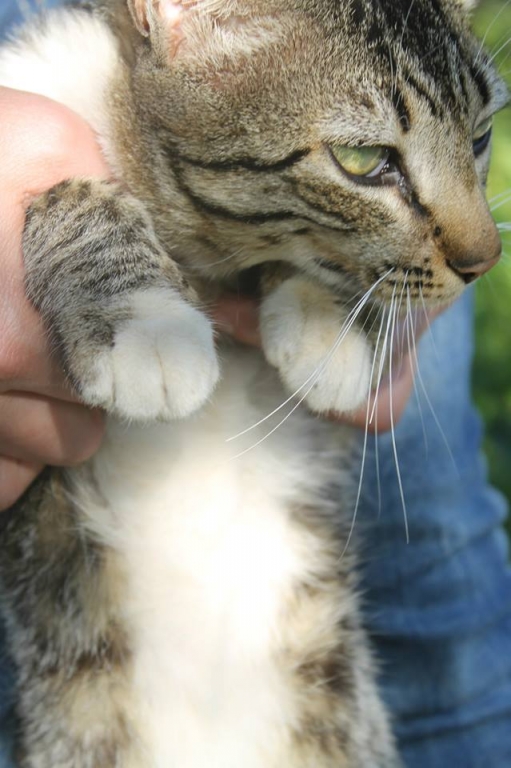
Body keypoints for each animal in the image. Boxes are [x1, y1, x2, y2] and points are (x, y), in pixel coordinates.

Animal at [0, 0, 506, 766]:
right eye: (363, 162)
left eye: (479, 138)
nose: (483, 261)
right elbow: (71, 191)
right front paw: (147, 325)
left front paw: (327, 324)